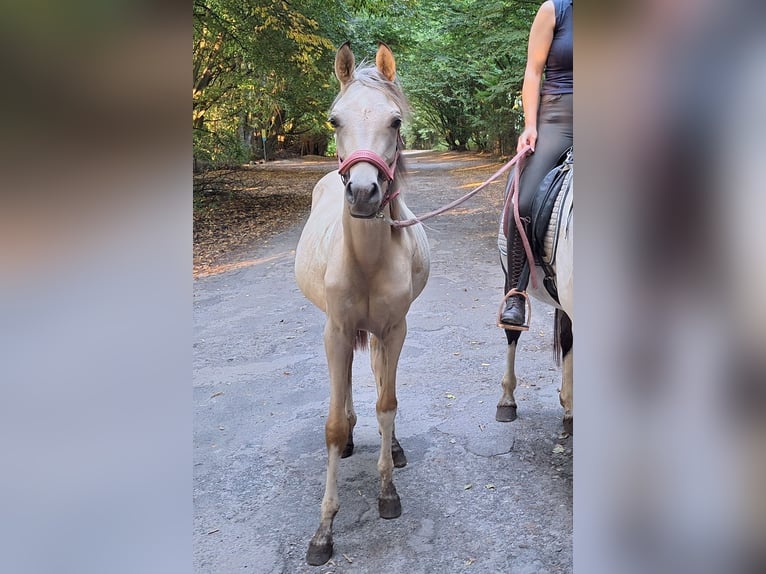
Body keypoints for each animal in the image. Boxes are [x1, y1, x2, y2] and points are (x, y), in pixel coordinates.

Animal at [294, 42, 430, 566]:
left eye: (395, 121)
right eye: (334, 120)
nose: (365, 193)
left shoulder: (394, 329)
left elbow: (387, 402)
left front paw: (388, 490)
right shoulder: (335, 329)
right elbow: (332, 426)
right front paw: (323, 531)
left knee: (373, 377)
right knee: (350, 384)